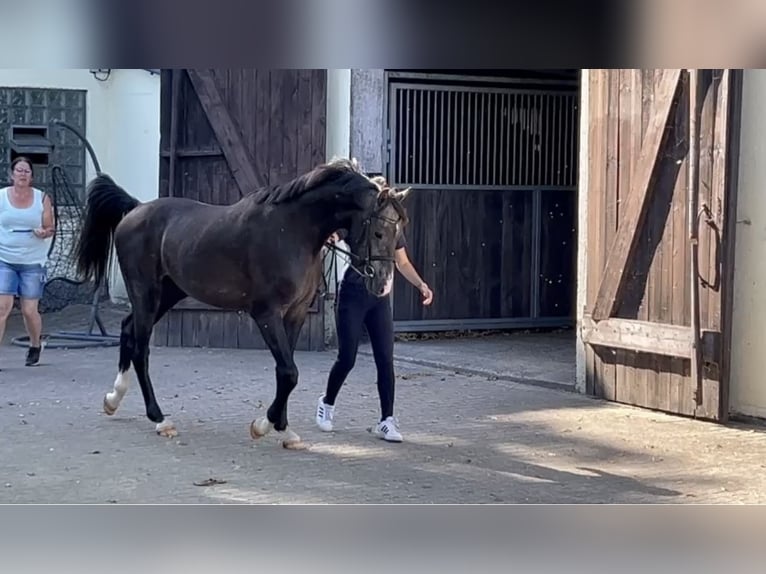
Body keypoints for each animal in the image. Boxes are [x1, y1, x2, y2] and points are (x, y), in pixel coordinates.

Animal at [74, 159, 412, 450]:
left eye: (399, 231)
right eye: (379, 231)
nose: (382, 285)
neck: (293, 229)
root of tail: (135, 209)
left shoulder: (295, 314)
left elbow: (286, 371)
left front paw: (283, 429)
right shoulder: (266, 314)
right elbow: (289, 371)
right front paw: (263, 425)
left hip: (167, 294)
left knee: (128, 330)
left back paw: (113, 398)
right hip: (146, 292)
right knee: (141, 349)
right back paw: (159, 419)